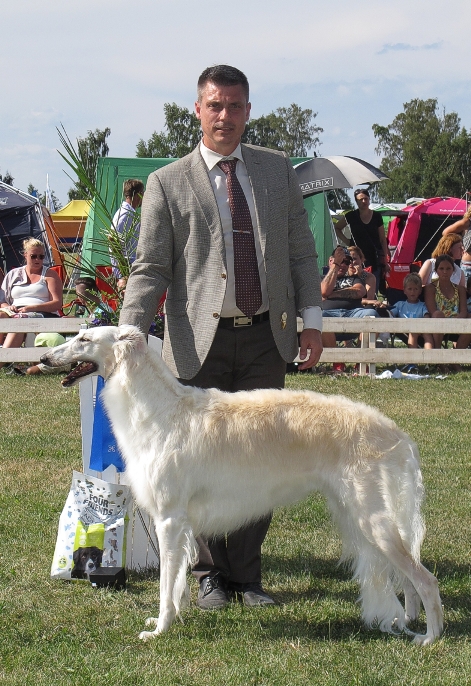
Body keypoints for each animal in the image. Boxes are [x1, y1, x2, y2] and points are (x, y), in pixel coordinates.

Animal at [42, 326, 444, 644]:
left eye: (85, 339)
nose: (44, 358)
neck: (160, 410)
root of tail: (395, 432)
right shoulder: (179, 524)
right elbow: (177, 581)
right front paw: (168, 618)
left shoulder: (169, 519)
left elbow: (165, 585)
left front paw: (159, 629)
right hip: (365, 516)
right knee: (409, 578)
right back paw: (409, 620)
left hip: (371, 518)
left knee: (426, 580)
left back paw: (429, 637)